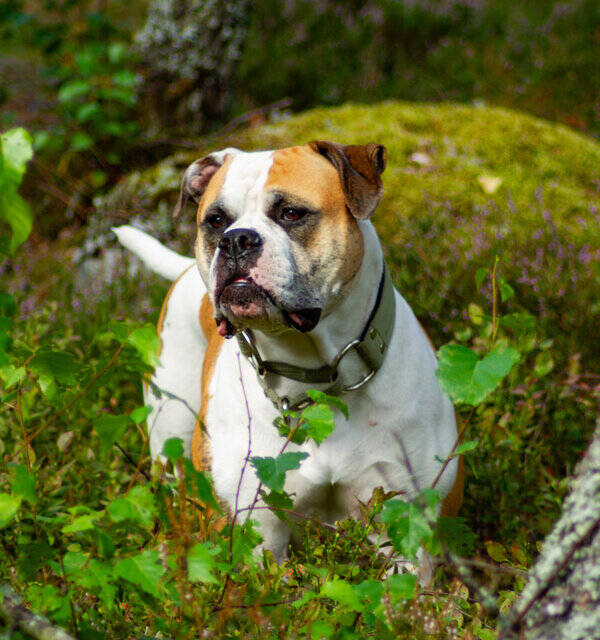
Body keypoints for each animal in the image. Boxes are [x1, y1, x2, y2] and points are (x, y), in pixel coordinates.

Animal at [115, 141, 462, 560]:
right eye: (216, 220)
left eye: (291, 213)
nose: (236, 239)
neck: (316, 380)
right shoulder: (254, 536)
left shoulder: (404, 533)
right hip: (169, 442)